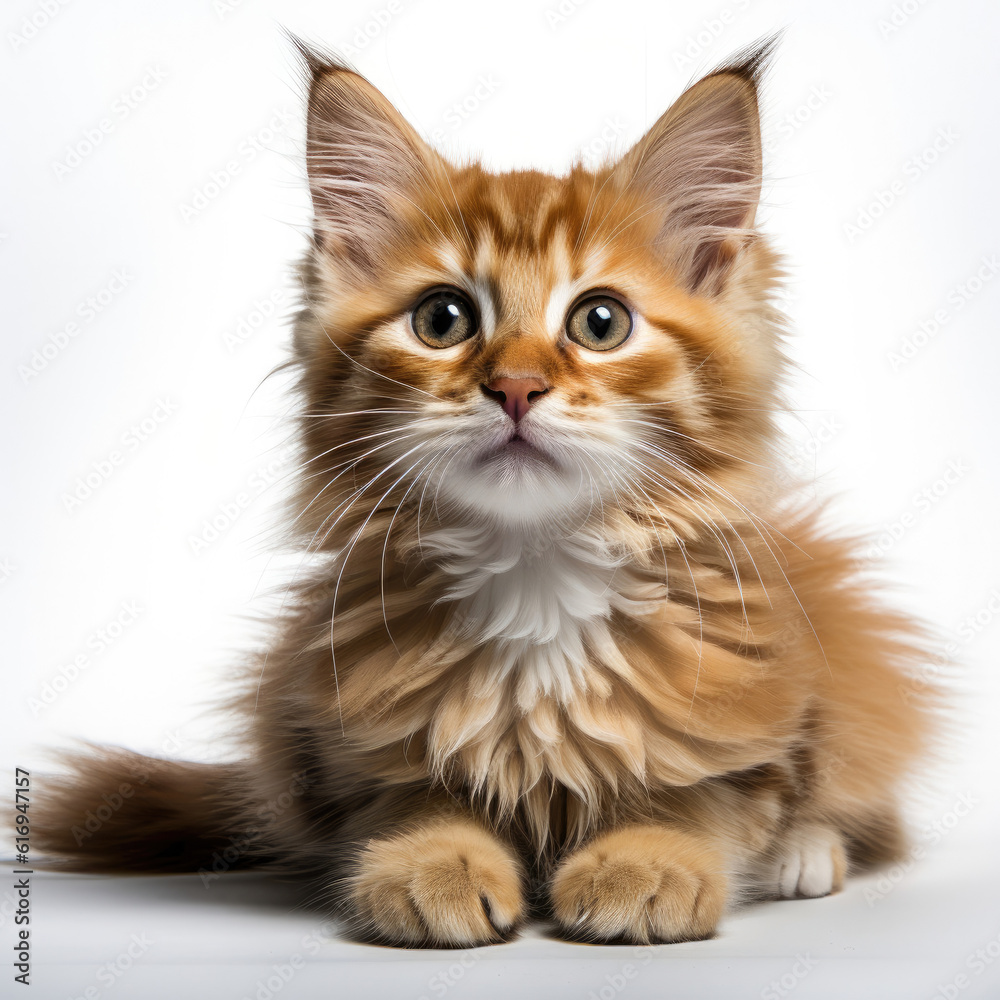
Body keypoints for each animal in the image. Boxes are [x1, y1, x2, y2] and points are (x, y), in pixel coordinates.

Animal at [33, 37, 936, 944]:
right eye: (443, 320)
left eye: (601, 322)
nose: (515, 387)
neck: (535, 586)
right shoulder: (341, 745)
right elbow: (418, 800)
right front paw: (434, 862)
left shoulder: (755, 711)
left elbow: (702, 795)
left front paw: (649, 858)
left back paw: (804, 857)